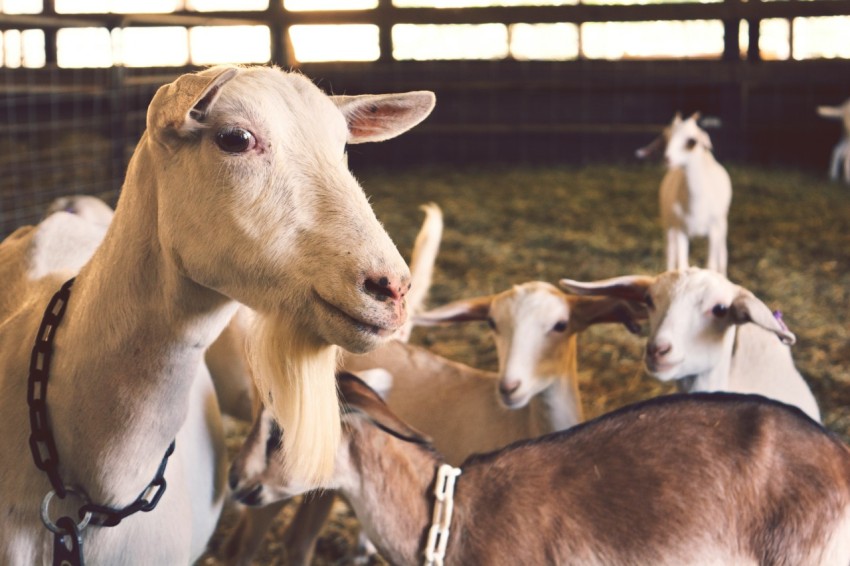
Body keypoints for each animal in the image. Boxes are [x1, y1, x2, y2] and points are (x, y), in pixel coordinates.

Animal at [652, 112, 732, 275]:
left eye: (692, 141)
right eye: (667, 136)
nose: (667, 159)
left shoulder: (714, 229)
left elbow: (712, 265)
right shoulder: (680, 228)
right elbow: (682, 264)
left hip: (722, 225)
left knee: (723, 256)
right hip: (668, 224)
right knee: (670, 254)